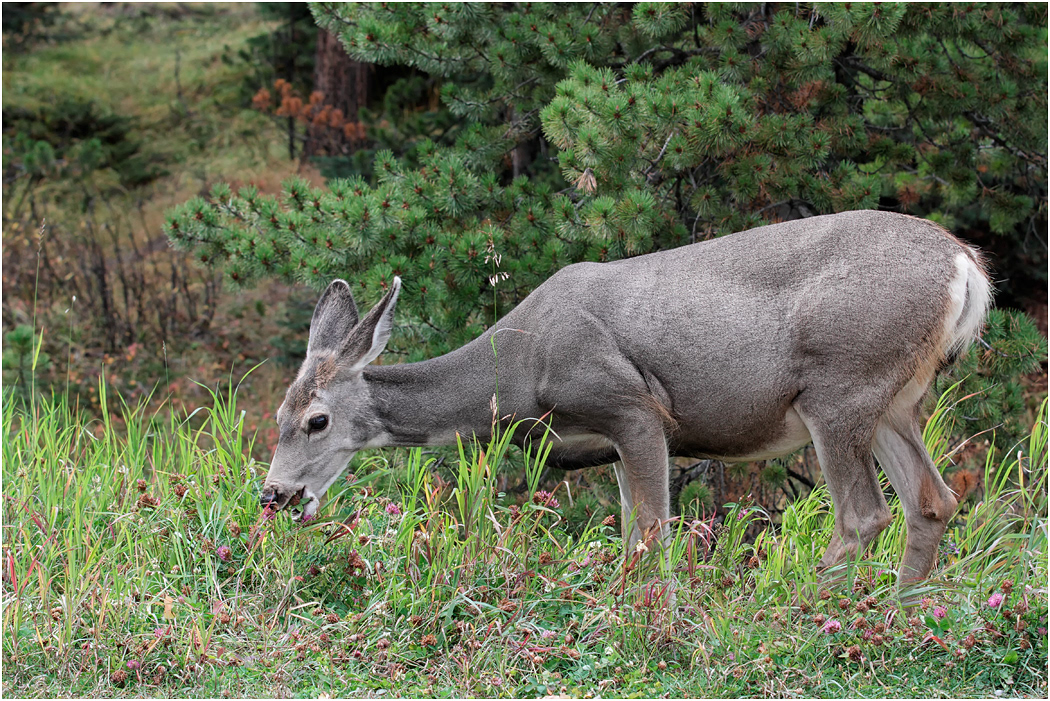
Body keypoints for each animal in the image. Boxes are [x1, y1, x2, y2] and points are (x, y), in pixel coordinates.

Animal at [260, 209, 992, 583]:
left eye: (316, 420)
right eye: (277, 416)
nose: (275, 494)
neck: (518, 373)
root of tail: (964, 265)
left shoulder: (633, 407)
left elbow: (651, 536)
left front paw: (649, 625)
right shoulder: (605, 443)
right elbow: (632, 535)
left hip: (838, 386)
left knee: (864, 515)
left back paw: (798, 613)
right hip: (892, 399)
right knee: (933, 500)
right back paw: (892, 617)